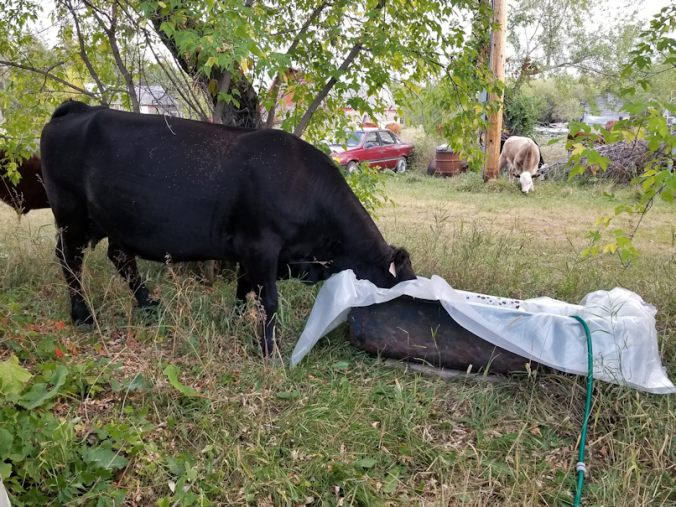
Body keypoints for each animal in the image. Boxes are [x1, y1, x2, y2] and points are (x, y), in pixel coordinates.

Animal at [40, 100, 416, 357]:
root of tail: (80, 110)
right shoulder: (260, 246)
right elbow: (268, 301)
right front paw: (269, 351)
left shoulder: (249, 251)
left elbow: (244, 289)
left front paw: (236, 321)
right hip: (71, 217)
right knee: (70, 261)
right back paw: (82, 316)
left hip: (115, 221)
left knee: (120, 257)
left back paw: (149, 304)